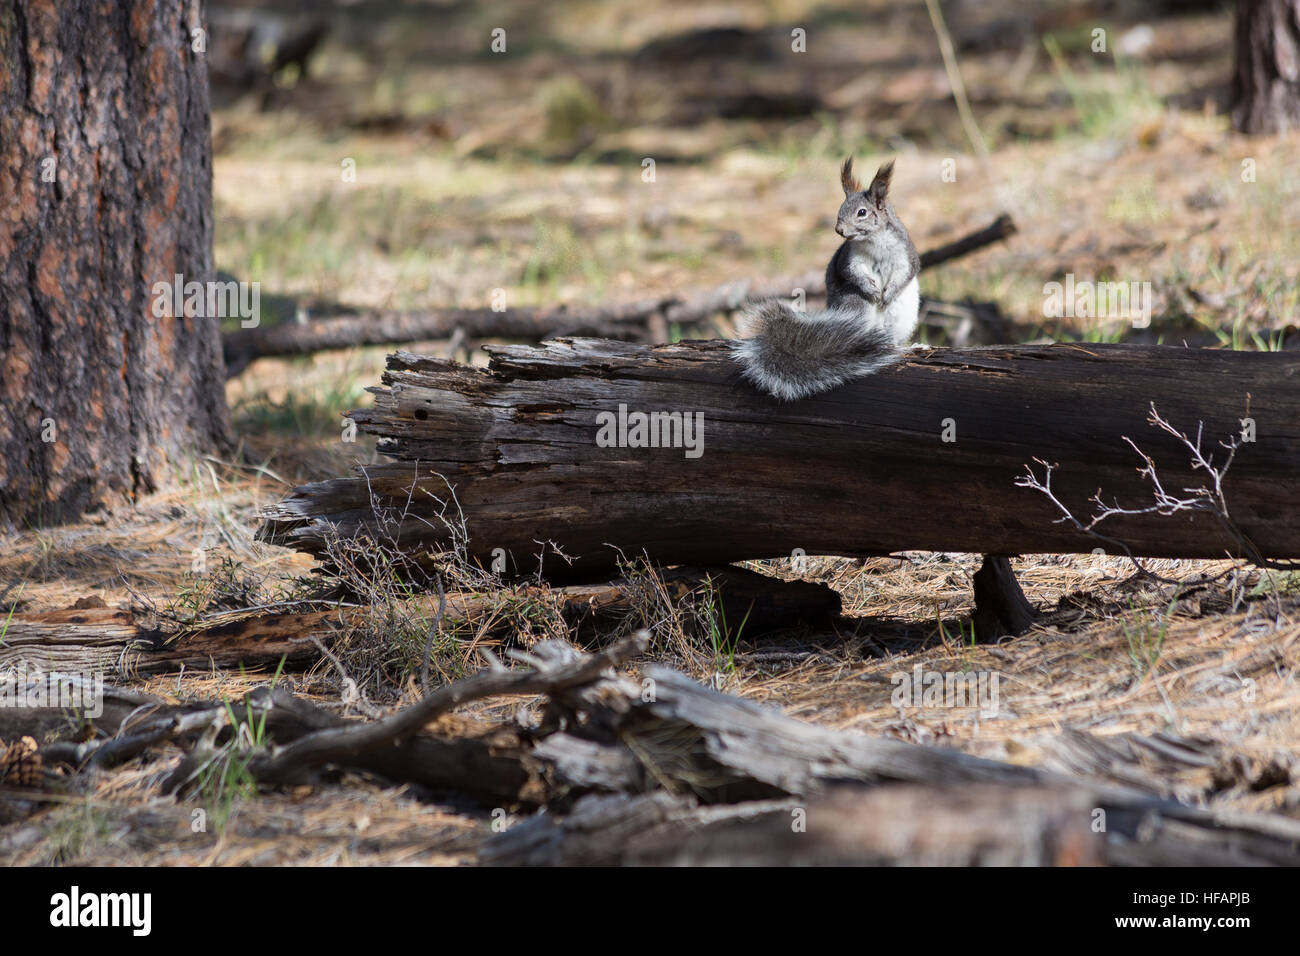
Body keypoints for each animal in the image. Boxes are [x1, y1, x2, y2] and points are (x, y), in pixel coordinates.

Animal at [733, 158, 925, 398]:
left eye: (862, 212)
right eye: (840, 209)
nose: (839, 229)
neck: (874, 240)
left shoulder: (905, 255)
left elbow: (907, 272)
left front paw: (887, 294)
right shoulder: (850, 259)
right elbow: (852, 273)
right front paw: (872, 291)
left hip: (903, 316)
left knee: (895, 339)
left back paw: (909, 346)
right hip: (855, 305)